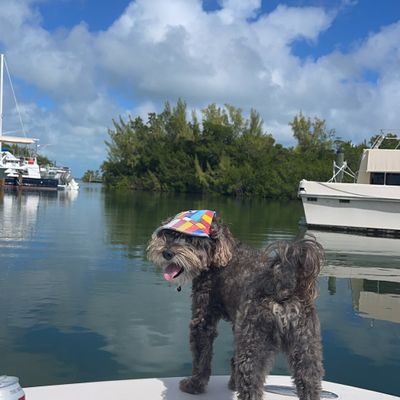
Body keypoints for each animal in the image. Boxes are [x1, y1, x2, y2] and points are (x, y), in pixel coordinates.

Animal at [147, 210, 324, 400]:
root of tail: (282, 286)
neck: (220, 255)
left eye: (191, 240)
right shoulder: (238, 324)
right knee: (309, 382)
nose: (166, 252)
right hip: (306, 350)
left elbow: (201, 356)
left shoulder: (203, 318)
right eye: (170, 234)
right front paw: (233, 383)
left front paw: (194, 385)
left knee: (251, 387)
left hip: (253, 347)